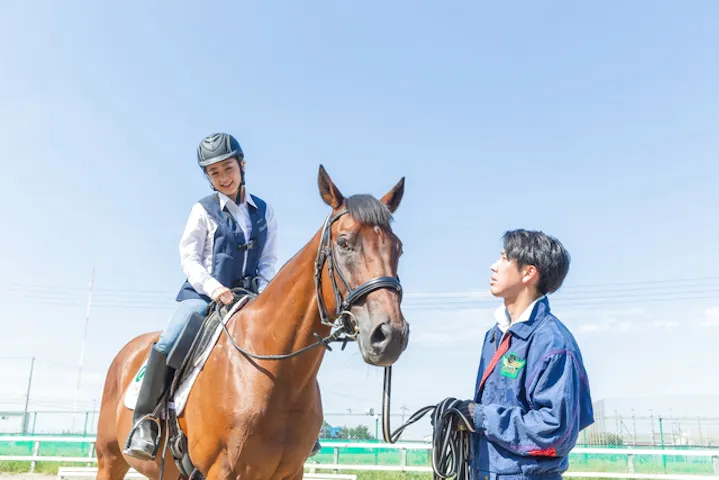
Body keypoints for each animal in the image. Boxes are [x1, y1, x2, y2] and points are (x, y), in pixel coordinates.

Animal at [95, 165, 410, 480]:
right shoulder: (222, 471)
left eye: (398, 247)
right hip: (110, 461)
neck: (277, 372)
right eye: (344, 243)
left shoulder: (292, 472)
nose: (390, 335)